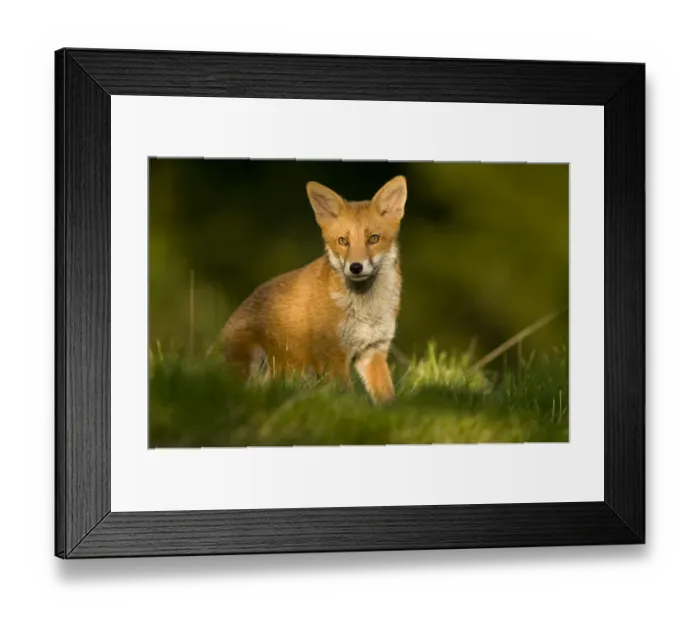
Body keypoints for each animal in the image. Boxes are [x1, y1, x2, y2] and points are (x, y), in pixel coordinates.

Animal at [216, 175, 407, 403]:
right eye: (343, 241)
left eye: (374, 239)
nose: (355, 267)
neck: (366, 311)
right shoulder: (332, 355)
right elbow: (347, 398)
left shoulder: (373, 350)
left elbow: (387, 397)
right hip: (253, 359)